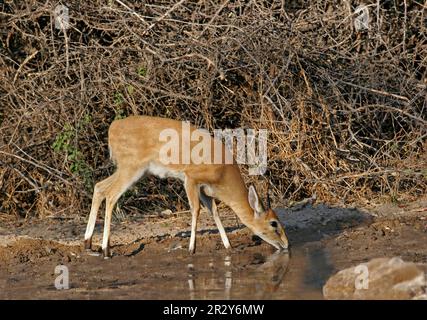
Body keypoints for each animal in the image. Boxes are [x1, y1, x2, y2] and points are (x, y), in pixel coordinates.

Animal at [84, 115, 288, 258]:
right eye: (273, 223)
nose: (286, 245)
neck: (223, 171)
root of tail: (113, 127)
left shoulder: (205, 190)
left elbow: (214, 212)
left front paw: (228, 246)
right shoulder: (190, 179)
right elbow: (196, 210)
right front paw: (192, 249)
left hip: (131, 171)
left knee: (99, 187)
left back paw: (88, 243)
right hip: (130, 169)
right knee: (111, 195)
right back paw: (106, 250)